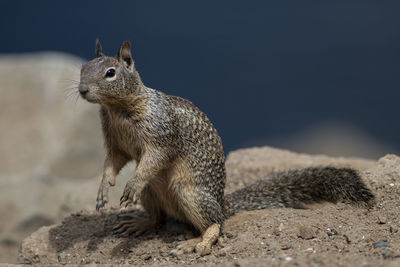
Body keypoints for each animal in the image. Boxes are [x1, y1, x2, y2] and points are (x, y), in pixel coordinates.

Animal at [77, 40, 376, 258]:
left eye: (110, 73)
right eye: (83, 68)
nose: (81, 90)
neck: (117, 109)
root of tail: (223, 202)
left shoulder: (160, 132)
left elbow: (155, 157)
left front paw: (131, 184)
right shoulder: (116, 143)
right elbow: (112, 162)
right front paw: (103, 189)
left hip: (189, 192)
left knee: (216, 223)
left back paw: (198, 242)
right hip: (154, 192)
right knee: (159, 218)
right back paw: (139, 223)